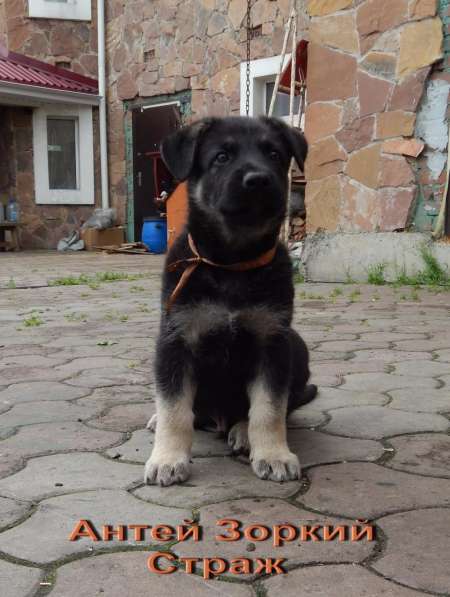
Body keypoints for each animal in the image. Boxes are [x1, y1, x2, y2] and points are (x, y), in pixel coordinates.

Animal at [144, 115, 316, 484]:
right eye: (222, 157)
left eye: (274, 154)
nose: (259, 180)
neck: (232, 263)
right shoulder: (176, 340)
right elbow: (174, 409)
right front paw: (167, 459)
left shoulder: (272, 341)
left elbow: (269, 408)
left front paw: (274, 454)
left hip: (297, 344)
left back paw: (241, 430)